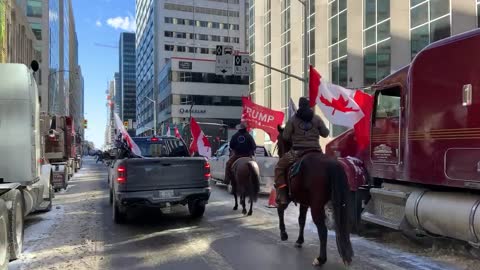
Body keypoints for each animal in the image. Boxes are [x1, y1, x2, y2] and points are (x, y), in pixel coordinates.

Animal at [278, 126, 352, 266]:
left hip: (317, 206)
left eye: (279, 141)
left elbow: (280, 211)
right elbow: (301, 220)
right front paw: (299, 240)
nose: (280, 153)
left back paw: (320, 259)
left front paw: (283, 234)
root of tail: (332, 165)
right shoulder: (304, 202)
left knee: (322, 230)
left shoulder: (287, 196)